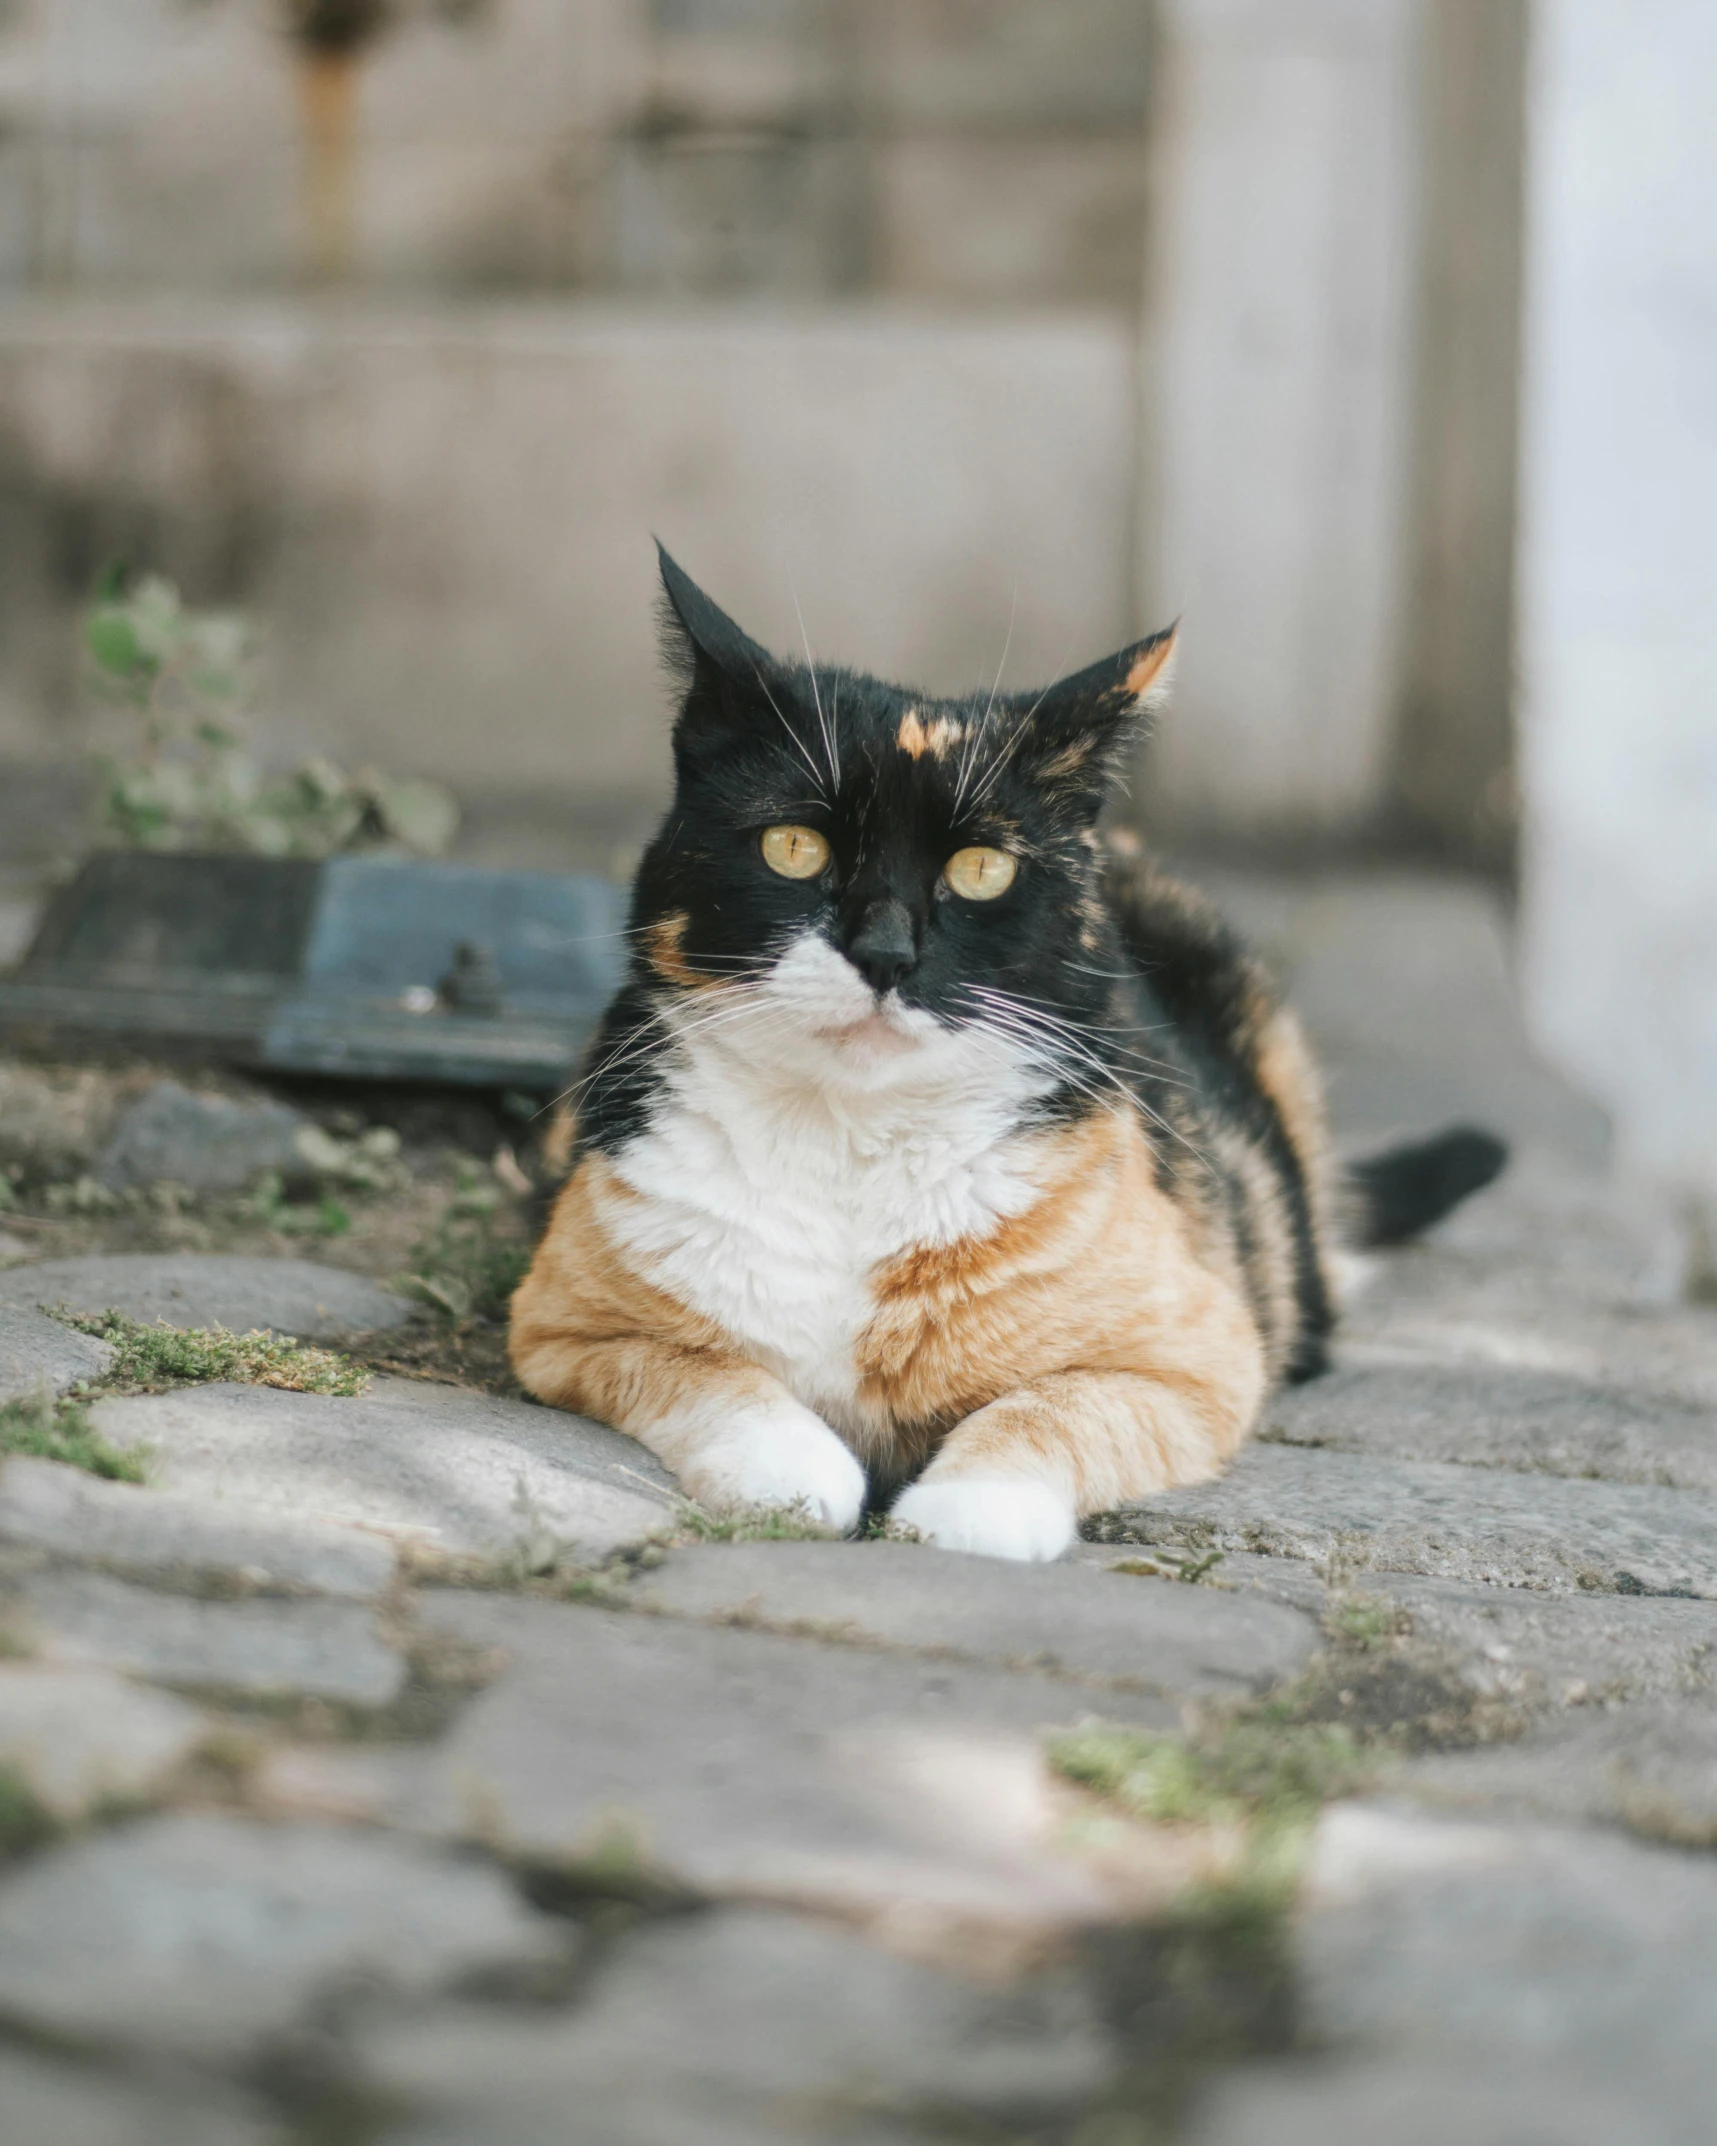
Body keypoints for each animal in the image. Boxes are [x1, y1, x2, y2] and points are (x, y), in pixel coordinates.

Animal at [510, 549, 1502, 1562]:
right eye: (793, 846)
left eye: (981, 869)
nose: (885, 955)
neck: (853, 1144)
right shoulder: (564, 1326)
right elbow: (711, 1375)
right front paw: (794, 1475)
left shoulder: (1196, 1359)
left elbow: (1050, 1407)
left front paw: (967, 1509)